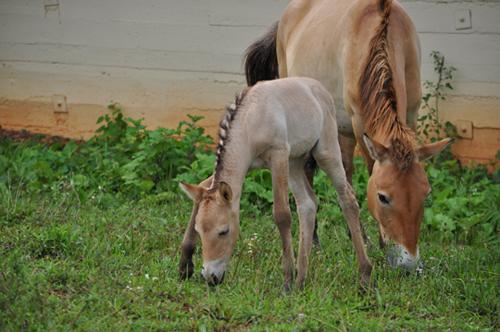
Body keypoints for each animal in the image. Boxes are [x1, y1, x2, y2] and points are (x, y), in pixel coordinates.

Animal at [179, 78, 372, 290]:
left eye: (224, 231)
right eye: (199, 231)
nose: (211, 277)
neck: (251, 120)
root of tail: (320, 88)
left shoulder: (278, 156)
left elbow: (282, 214)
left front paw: (287, 280)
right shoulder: (248, 165)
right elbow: (202, 189)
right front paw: (184, 265)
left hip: (325, 152)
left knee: (348, 199)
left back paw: (365, 275)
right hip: (294, 162)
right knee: (308, 204)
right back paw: (301, 279)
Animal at [246, 0, 454, 270]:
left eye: (425, 194)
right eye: (382, 197)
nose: (408, 264)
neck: (380, 36)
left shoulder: (410, 114)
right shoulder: (359, 123)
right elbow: (370, 170)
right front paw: (381, 243)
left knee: (345, 172)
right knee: (309, 167)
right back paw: (315, 240)